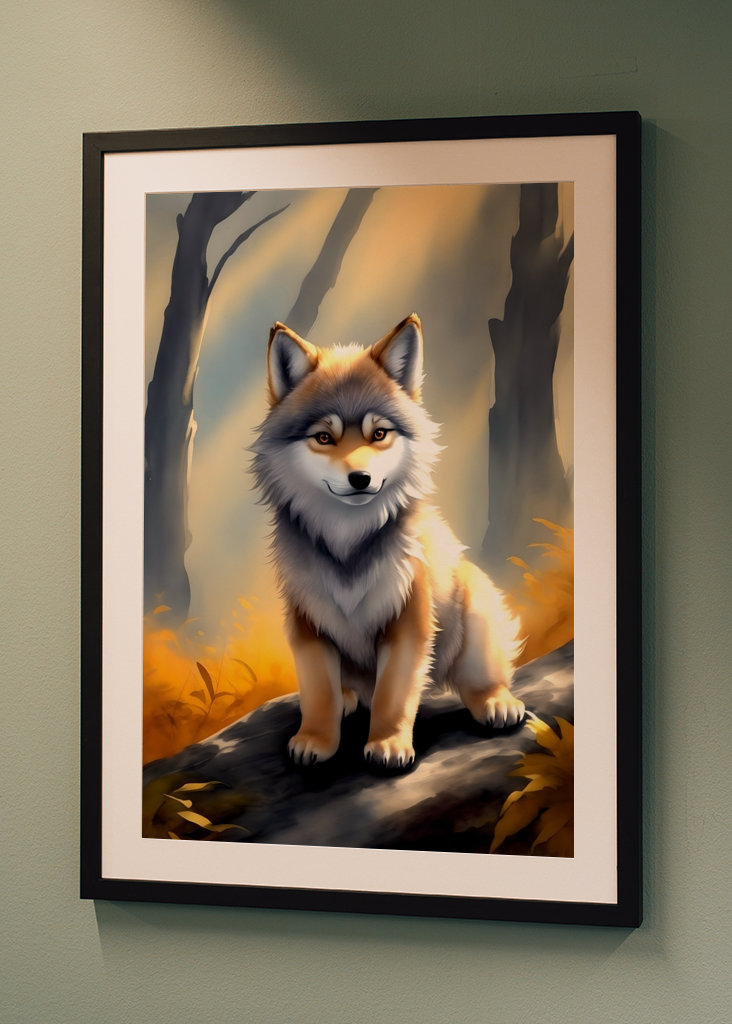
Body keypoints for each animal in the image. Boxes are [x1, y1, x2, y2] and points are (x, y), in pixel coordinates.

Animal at [251, 314, 524, 768]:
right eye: (324, 438)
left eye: (378, 434)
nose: (360, 478)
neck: (348, 545)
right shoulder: (308, 623)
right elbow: (318, 693)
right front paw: (316, 740)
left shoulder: (407, 621)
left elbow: (393, 696)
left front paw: (388, 743)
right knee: (347, 692)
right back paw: (348, 698)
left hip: (473, 602)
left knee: (477, 679)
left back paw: (496, 702)